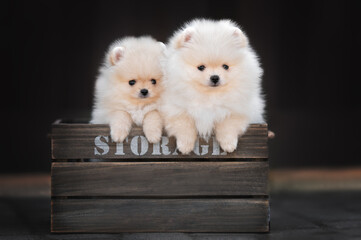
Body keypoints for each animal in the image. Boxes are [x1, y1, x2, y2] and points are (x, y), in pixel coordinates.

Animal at [160, 18, 264, 154]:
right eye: (201, 67)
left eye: (225, 66)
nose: (215, 77)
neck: (210, 96)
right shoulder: (174, 108)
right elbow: (184, 124)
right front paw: (185, 146)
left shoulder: (239, 109)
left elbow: (229, 124)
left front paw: (228, 144)